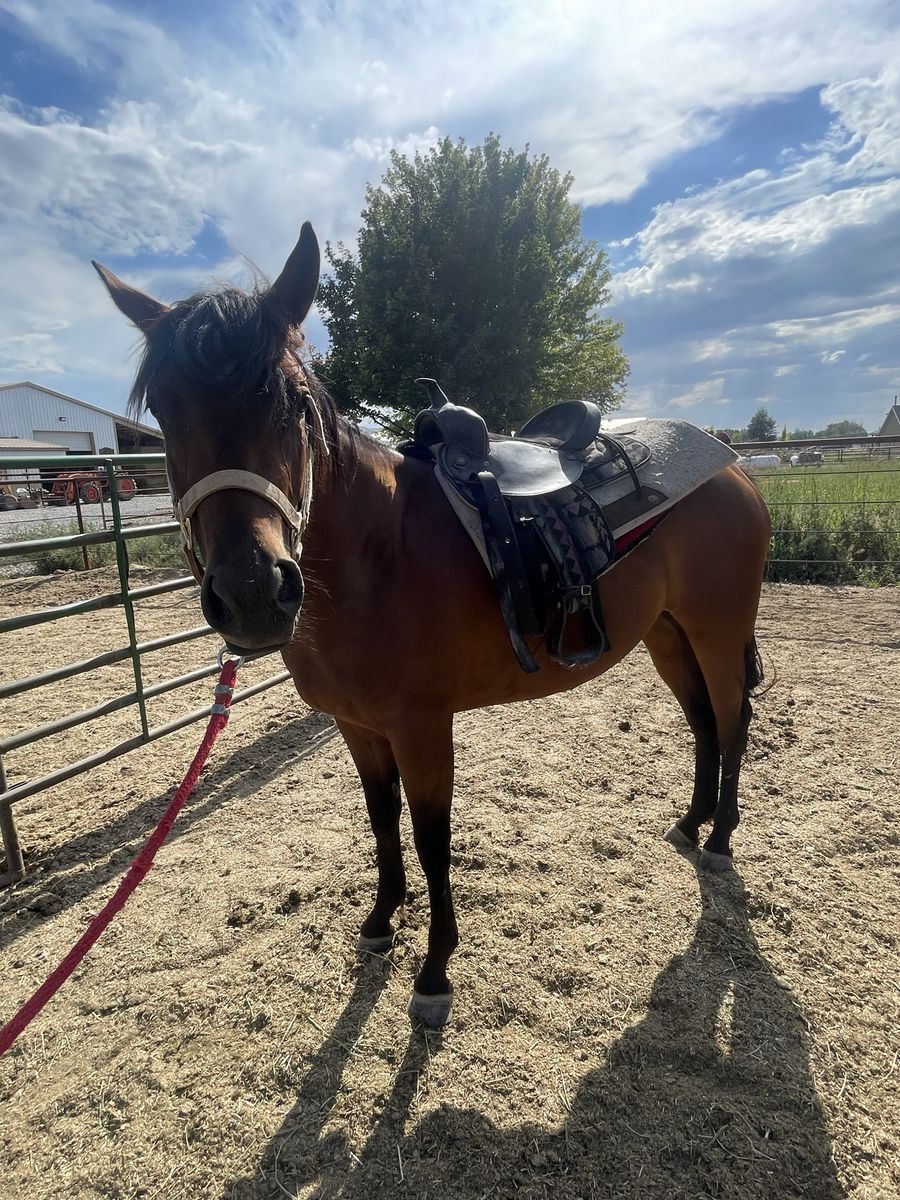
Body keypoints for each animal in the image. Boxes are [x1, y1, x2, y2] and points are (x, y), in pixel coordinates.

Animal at [93, 222, 771, 1027]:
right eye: (165, 412)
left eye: (293, 401)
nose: (253, 591)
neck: (377, 553)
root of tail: (731, 465)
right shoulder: (358, 724)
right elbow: (381, 818)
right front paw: (383, 919)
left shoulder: (422, 725)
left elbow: (430, 834)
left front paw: (436, 969)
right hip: (667, 632)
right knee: (701, 719)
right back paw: (693, 821)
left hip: (716, 628)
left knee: (730, 717)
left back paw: (722, 834)